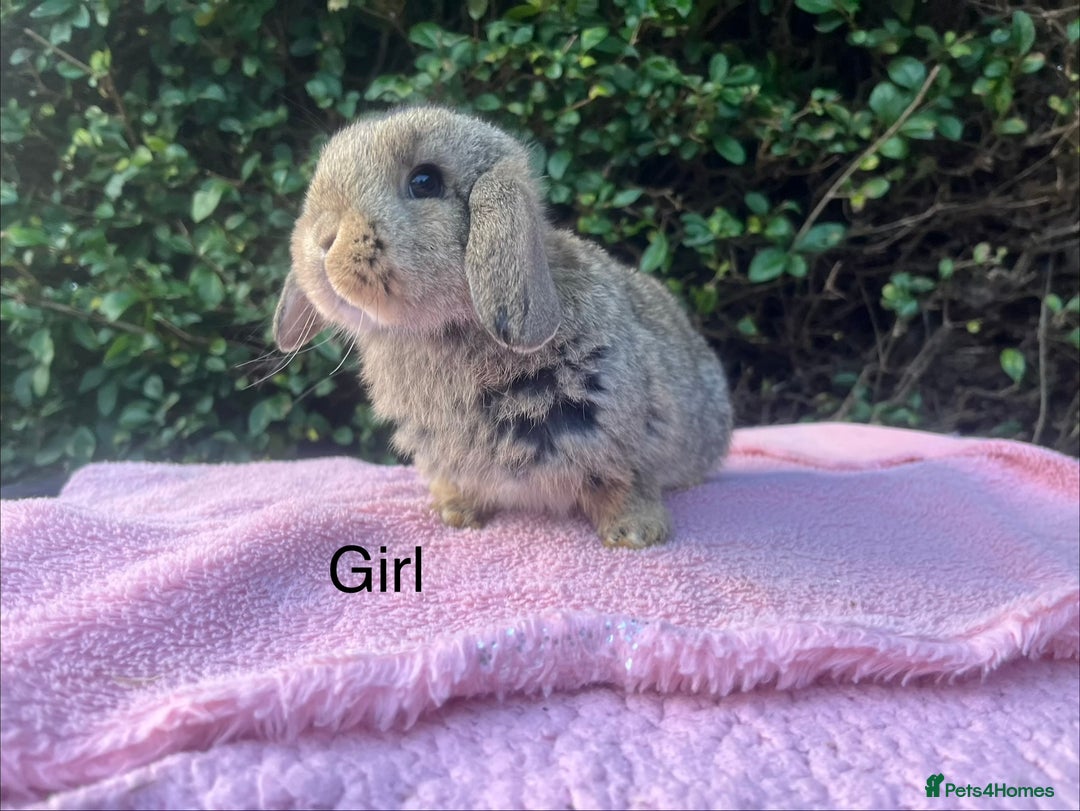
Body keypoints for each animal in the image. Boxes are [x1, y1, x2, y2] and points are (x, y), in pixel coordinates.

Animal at [273, 105, 733, 548]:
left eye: (424, 182)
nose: (322, 238)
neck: (449, 327)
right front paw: (456, 514)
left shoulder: (623, 439)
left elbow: (625, 484)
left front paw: (635, 534)